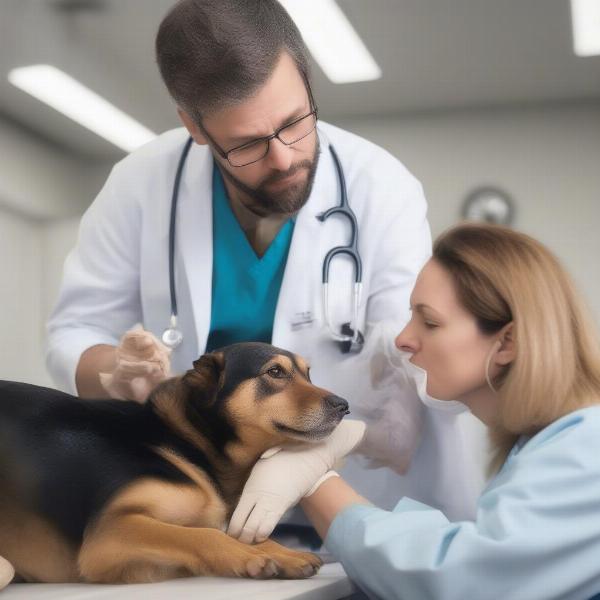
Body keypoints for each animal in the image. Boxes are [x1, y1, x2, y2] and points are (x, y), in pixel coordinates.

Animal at [0, 342, 350, 584]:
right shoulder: (110, 530)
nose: (344, 405)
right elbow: (206, 535)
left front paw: (282, 553)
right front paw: (253, 558)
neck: (186, 440)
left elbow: (238, 533)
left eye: (308, 373)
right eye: (275, 372)